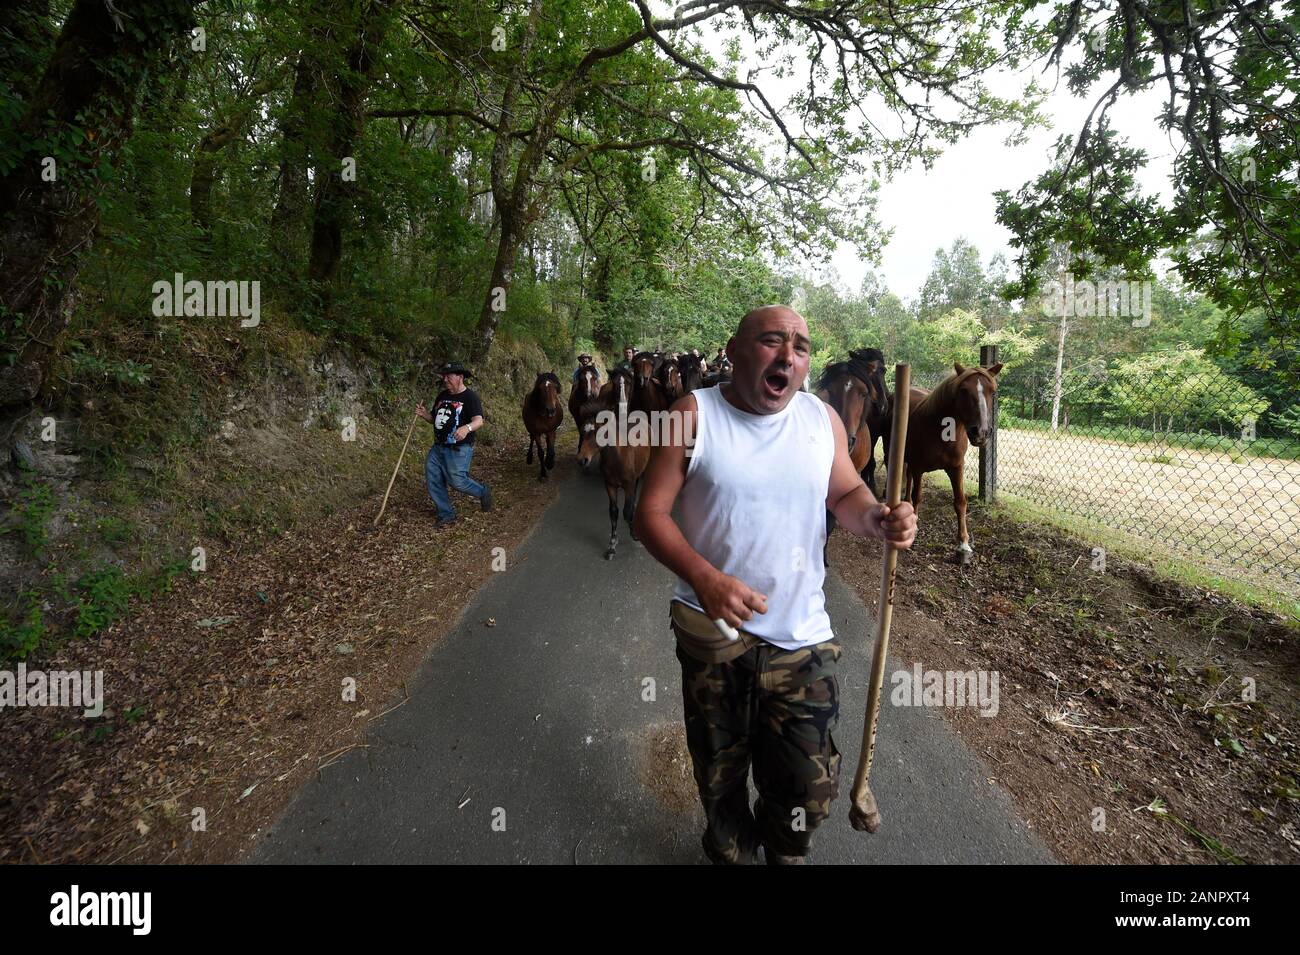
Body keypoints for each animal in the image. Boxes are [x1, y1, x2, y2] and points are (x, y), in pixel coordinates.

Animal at [577, 369, 647, 561]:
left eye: (599, 432)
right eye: (583, 432)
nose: (582, 459)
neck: (618, 458)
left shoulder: (629, 484)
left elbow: (627, 511)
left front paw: (635, 533)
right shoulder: (609, 485)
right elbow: (614, 512)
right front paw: (612, 545)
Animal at [904, 361, 1003, 563]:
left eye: (992, 392)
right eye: (964, 391)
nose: (981, 432)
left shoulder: (956, 468)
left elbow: (960, 502)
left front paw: (963, 545)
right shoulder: (918, 468)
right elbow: (918, 496)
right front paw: (915, 526)